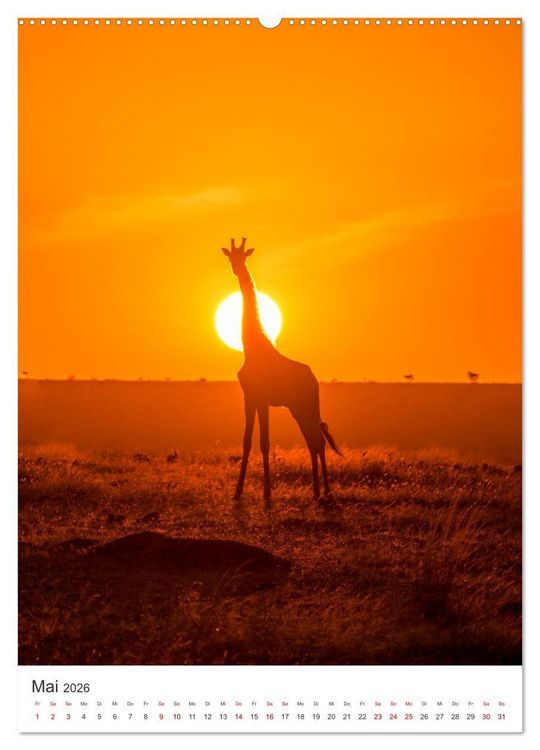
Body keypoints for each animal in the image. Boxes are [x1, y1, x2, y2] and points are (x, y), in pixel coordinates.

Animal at [221, 237, 341, 502]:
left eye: (244, 256)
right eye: (230, 257)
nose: (236, 269)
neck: (252, 348)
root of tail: (314, 380)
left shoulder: (263, 399)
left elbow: (265, 442)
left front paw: (267, 492)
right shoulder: (249, 397)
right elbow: (247, 441)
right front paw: (237, 492)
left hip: (307, 405)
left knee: (317, 440)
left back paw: (325, 492)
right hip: (297, 408)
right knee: (313, 440)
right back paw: (317, 492)